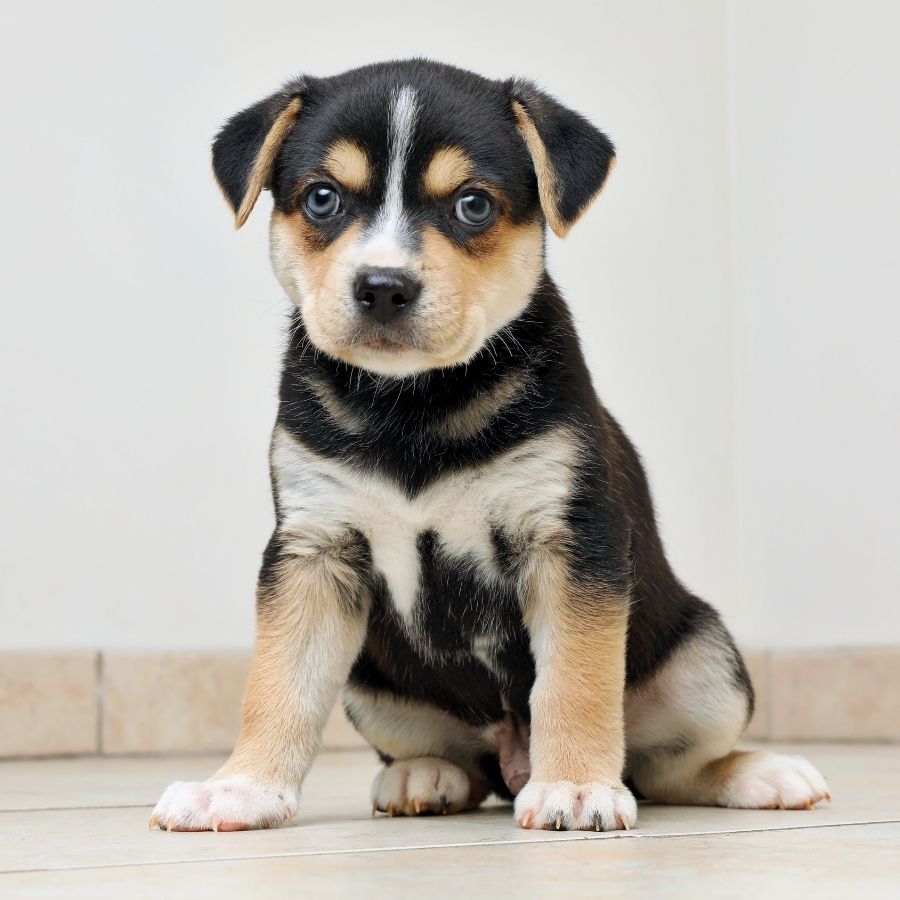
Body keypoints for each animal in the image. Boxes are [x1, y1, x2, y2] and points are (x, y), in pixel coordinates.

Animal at [149, 59, 828, 832]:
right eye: (322, 198)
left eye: (472, 205)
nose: (383, 287)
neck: (413, 405)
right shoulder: (313, 551)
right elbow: (277, 683)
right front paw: (240, 787)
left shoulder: (570, 540)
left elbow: (575, 681)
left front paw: (575, 787)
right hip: (372, 684)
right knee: (462, 762)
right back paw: (422, 776)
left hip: (707, 659)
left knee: (669, 766)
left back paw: (761, 774)